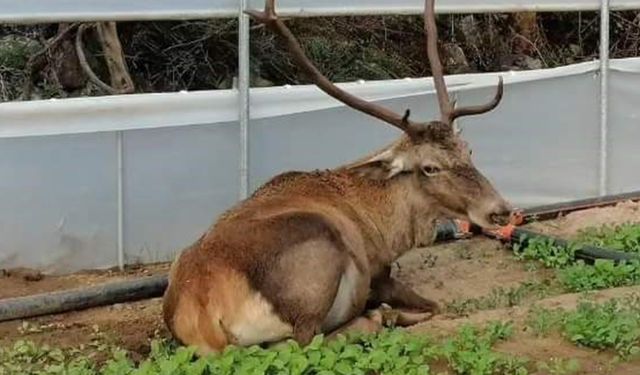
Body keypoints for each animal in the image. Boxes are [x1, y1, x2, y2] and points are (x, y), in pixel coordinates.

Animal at [161, 0, 516, 356]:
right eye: (430, 167)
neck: (386, 228)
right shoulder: (377, 272)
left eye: (468, 150)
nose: (499, 209)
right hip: (316, 259)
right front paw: (392, 312)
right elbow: (434, 305)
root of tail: (203, 313)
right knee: (304, 342)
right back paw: (377, 317)